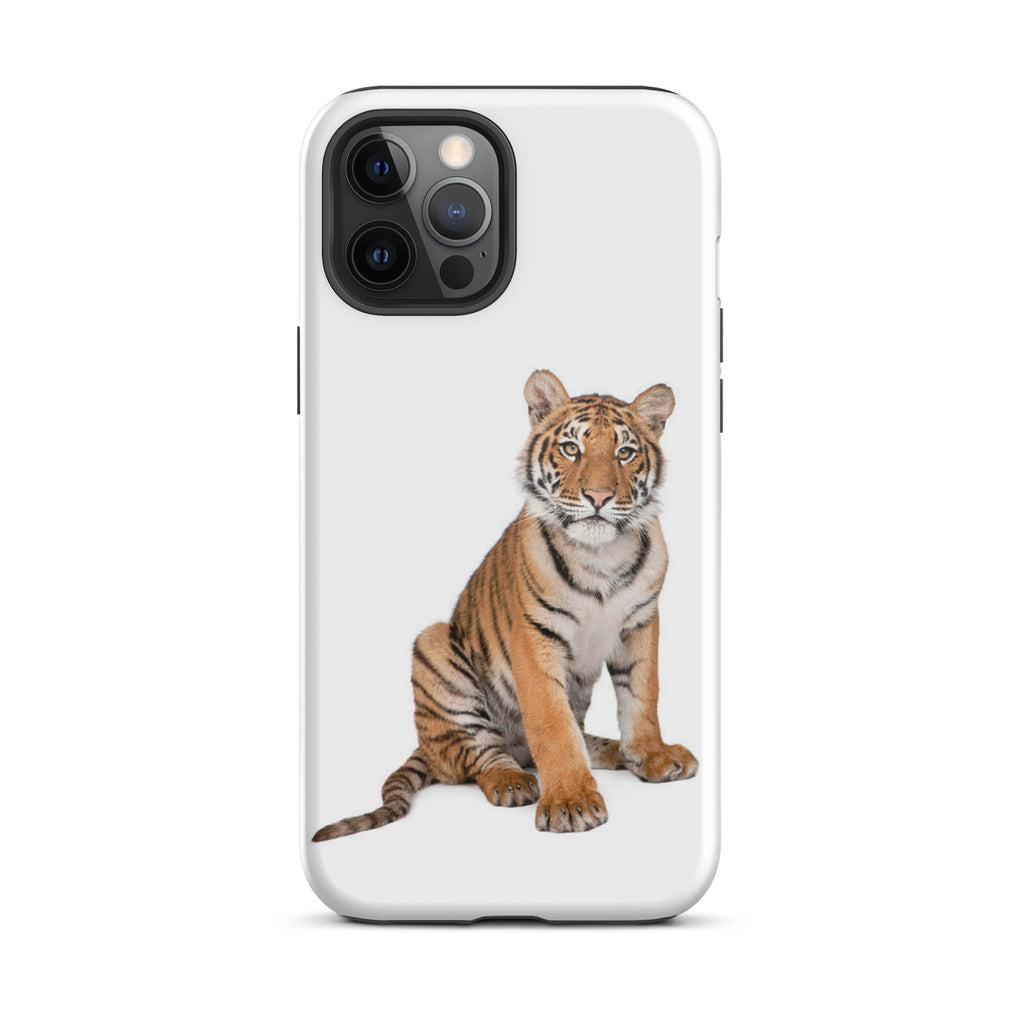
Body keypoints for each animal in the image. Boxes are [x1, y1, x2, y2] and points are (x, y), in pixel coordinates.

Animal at [312, 369, 698, 839]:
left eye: (625, 453)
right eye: (572, 448)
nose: (598, 497)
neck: (600, 556)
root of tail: (424, 746)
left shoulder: (640, 624)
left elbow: (642, 697)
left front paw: (651, 755)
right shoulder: (534, 636)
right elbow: (551, 724)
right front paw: (571, 801)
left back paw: (611, 751)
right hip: (434, 648)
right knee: (478, 756)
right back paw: (512, 781)